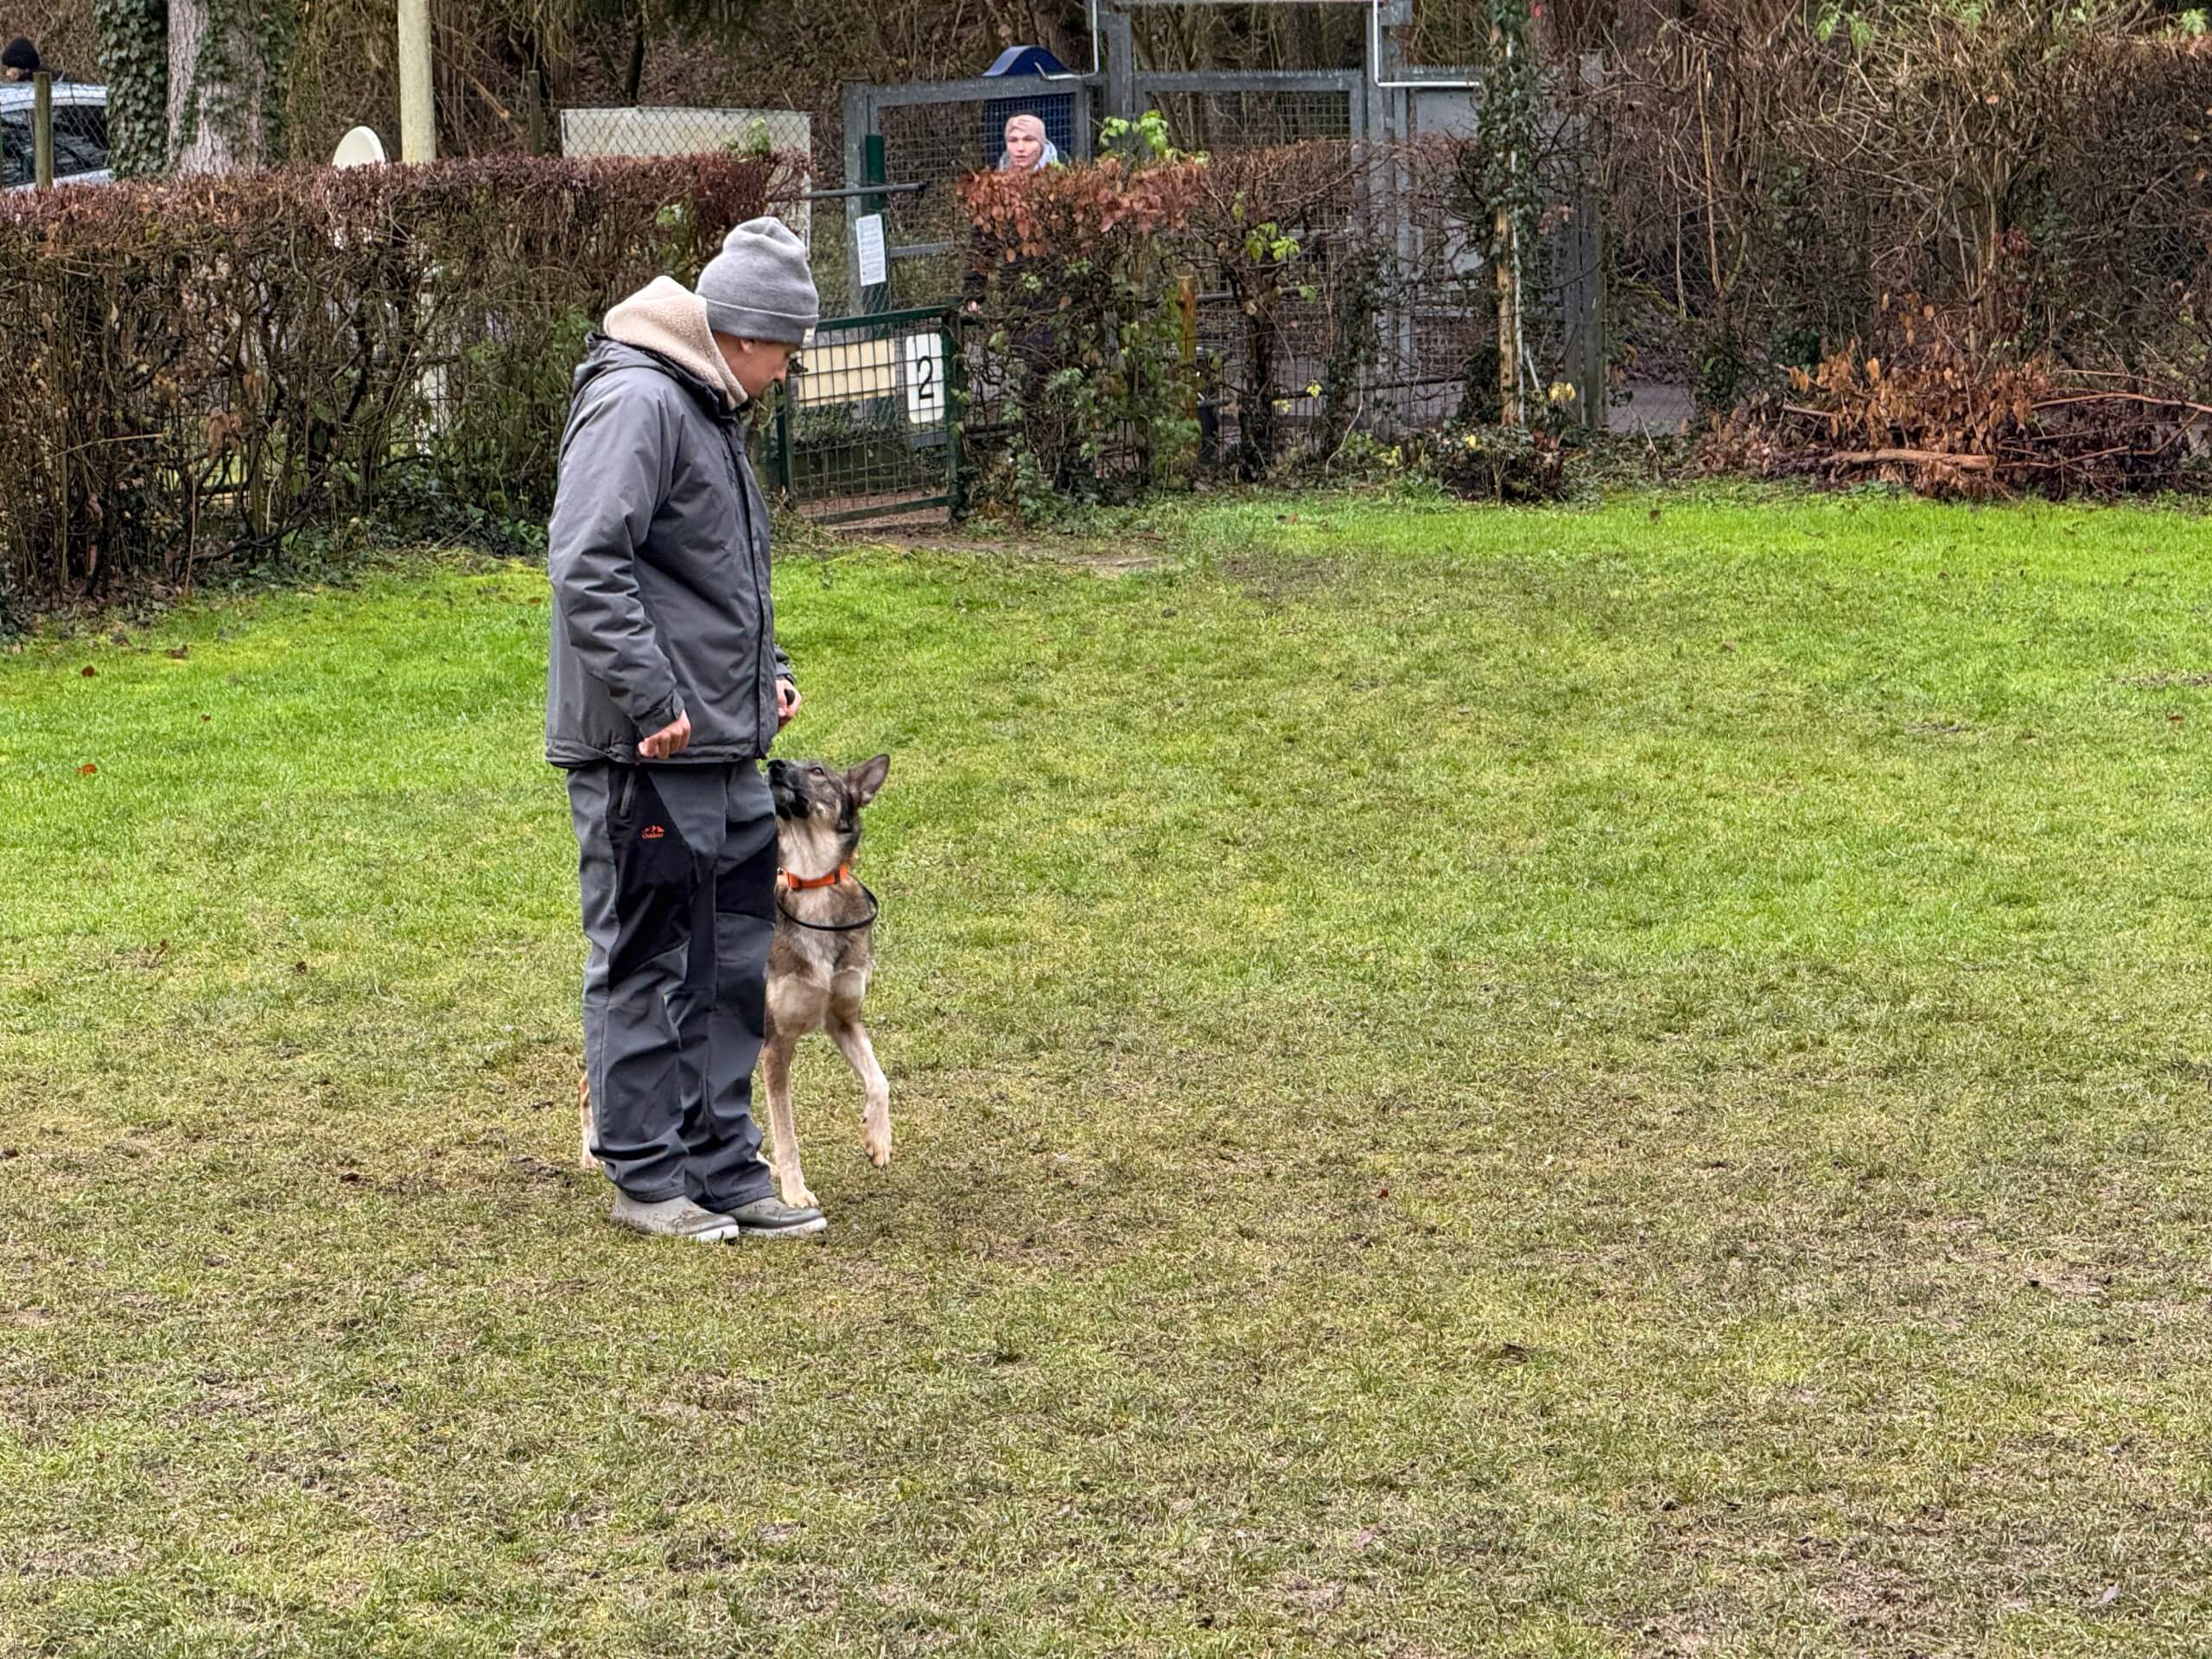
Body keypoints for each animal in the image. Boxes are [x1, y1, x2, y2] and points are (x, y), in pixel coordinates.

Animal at [576, 753, 893, 1214]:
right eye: (791, 761)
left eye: (817, 771)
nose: (775, 764)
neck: (811, 887)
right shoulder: (776, 1045)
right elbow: (787, 1132)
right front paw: (796, 1194)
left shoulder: (843, 1019)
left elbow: (879, 1080)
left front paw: (877, 1139)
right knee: (592, 1083)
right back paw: (590, 1154)